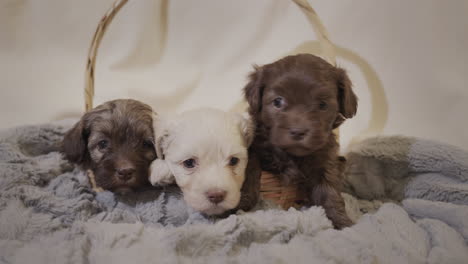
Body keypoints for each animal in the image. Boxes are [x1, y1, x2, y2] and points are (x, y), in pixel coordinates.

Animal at [245, 54, 358, 229]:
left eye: (322, 104)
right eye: (277, 102)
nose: (298, 131)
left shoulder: (324, 159)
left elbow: (329, 189)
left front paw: (342, 222)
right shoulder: (256, 144)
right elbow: (249, 162)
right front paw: (244, 197)